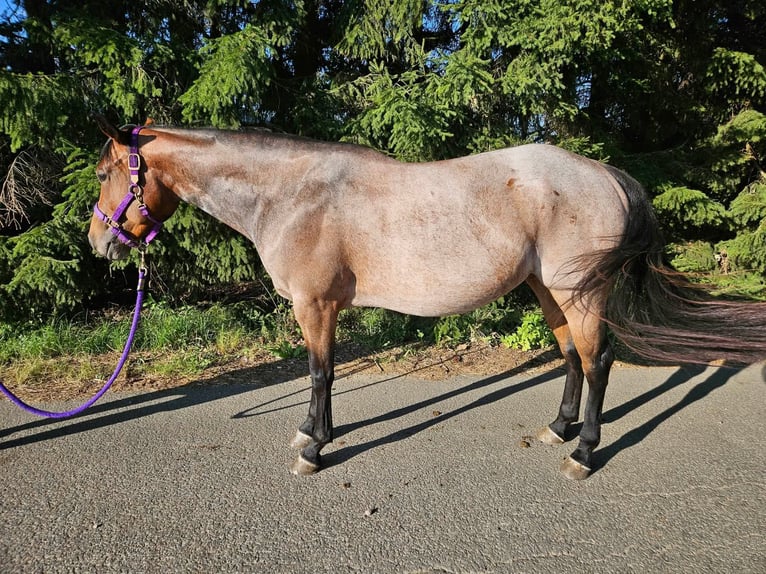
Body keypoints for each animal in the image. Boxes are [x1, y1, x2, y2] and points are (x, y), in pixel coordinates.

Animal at [88, 116, 766, 480]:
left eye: (102, 173)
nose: (99, 241)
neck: (292, 195)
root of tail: (606, 174)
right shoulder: (322, 309)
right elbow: (322, 374)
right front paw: (312, 432)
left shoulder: (315, 306)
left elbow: (320, 372)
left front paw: (315, 447)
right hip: (547, 288)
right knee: (572, 355)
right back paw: (558, 428)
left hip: (581, 290)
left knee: (597, 360)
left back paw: (583, 451)